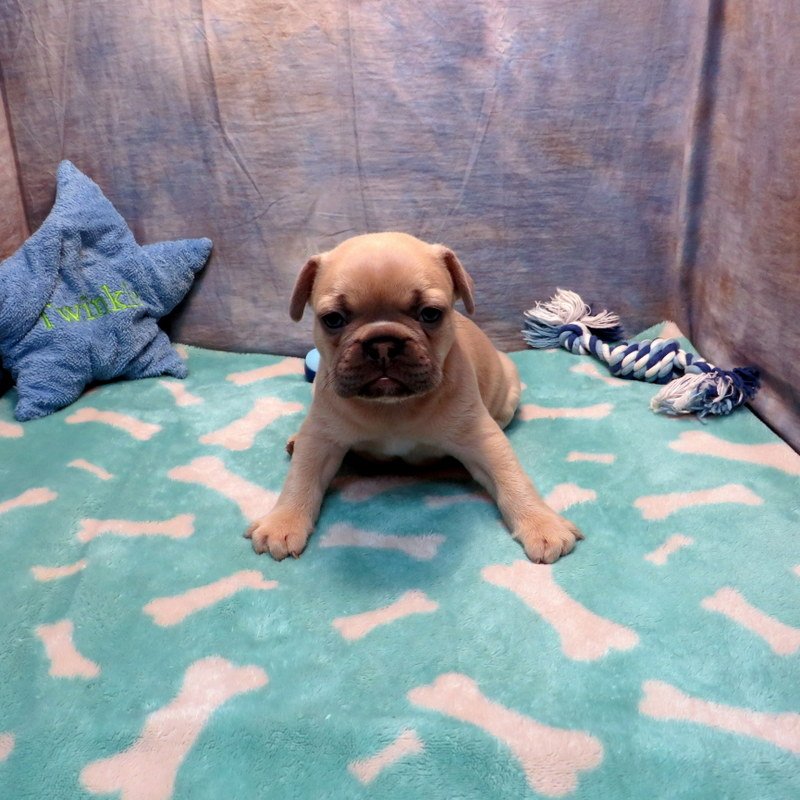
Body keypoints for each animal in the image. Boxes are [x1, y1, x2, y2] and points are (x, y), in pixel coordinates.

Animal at [246, 232, 582, 563]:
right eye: (333, 319)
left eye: (430, 314)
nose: (382, 343)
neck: (393, 407)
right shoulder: (321, 439)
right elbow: (301, 477)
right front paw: (283, 522)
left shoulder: (482, 439)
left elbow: (512, 477)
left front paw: (542, 523)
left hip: (509, 390)